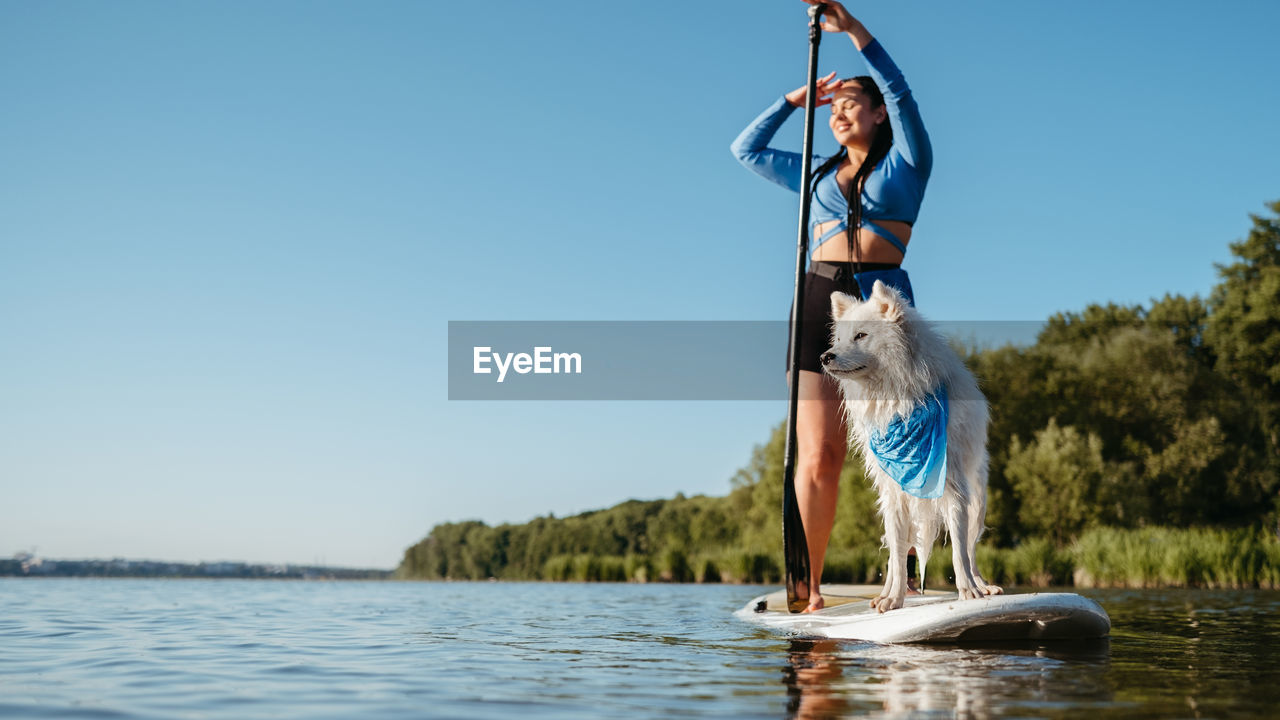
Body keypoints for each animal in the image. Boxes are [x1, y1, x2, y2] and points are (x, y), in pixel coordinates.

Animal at [819, 280, 998, 609]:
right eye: (838, 339)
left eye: (860, 335)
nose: (826, 357)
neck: (899, 399)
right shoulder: (894, 491)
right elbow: (900, 559)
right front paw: (893, 599)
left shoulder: (954, 488)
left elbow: (958, 552)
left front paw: (969, 592)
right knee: (895, 555)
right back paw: (884, 593)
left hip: (978, 501)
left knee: (970, 550)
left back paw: (982, 584)